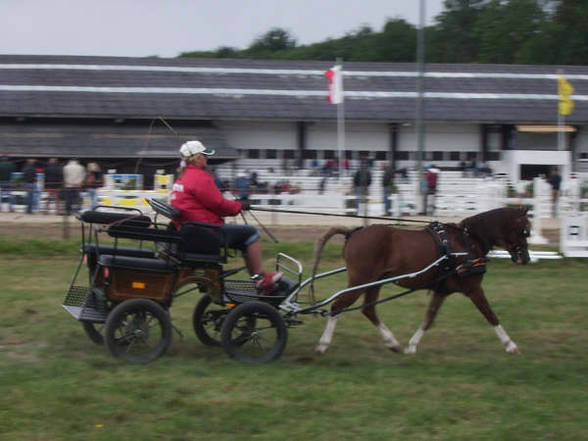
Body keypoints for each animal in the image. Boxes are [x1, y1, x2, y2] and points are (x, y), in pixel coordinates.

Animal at [310, 205, 532, 354]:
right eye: (525, 231)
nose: (526, 259)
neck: (468, 242)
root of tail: (353, 233)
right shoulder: (473, 288)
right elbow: (490, 315)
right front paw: (511, 345)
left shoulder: (442, 290)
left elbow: (429, 318)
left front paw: (412, 346)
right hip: (360, 281)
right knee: (338, 307)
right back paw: (322, 344)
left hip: (374, 282)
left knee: (368, 310)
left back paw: (392, 342)